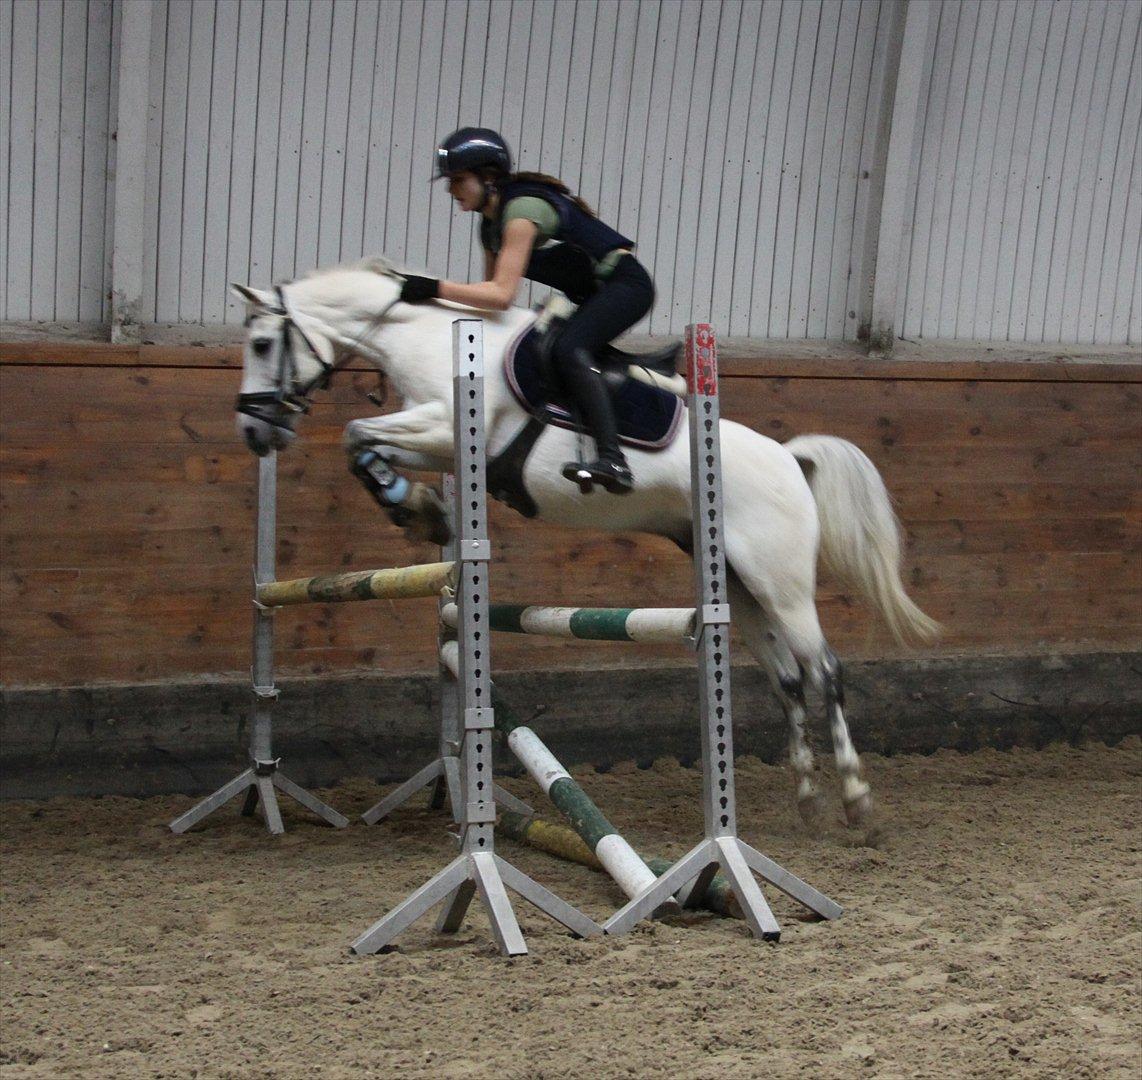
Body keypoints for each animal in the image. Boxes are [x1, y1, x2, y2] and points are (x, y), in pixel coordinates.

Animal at [231, 262, 936, 826]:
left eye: (263, 343)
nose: (254, 431)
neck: (429, 337)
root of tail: (791, 459)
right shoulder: (434, 438)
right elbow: (363, 441)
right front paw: (421, 510)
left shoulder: (445, 426)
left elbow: (356, 430)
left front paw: (414, 506)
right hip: (738, 583)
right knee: (788, 680)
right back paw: (809, 799)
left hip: (780, 581)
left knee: (825, 672)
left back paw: (856, 800)